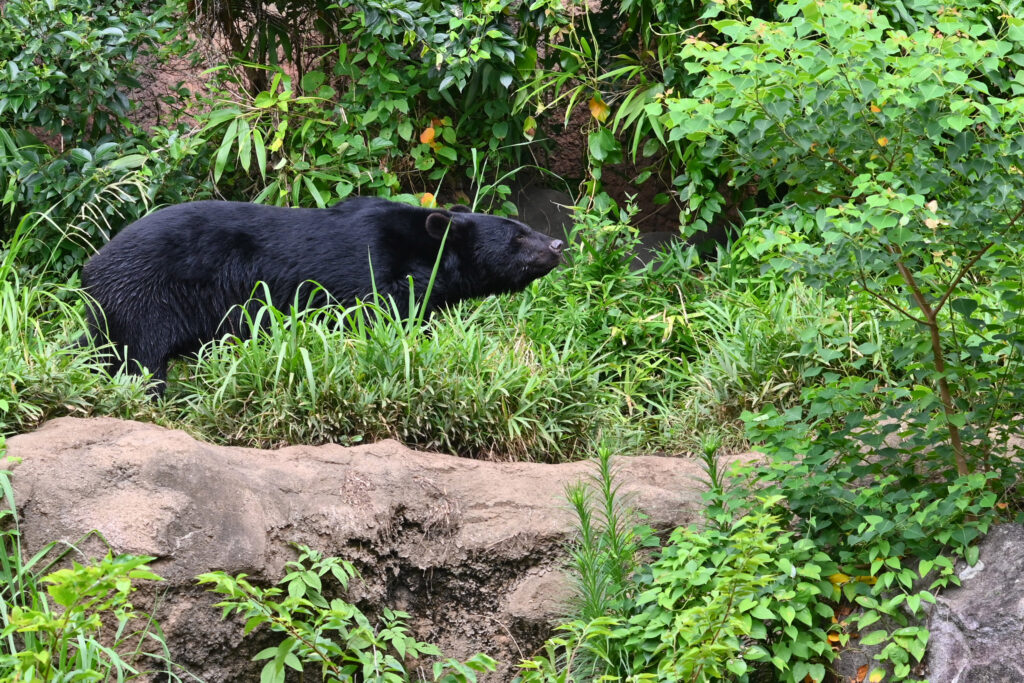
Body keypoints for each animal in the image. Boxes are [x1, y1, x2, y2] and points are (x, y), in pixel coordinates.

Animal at [80, 196, 565, 394]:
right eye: (518, 236)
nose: (558, 244)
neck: (422, 259)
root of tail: (91, 268)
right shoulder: (367, 276)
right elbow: (371, 322)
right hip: (144, 297)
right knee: (140, 359)